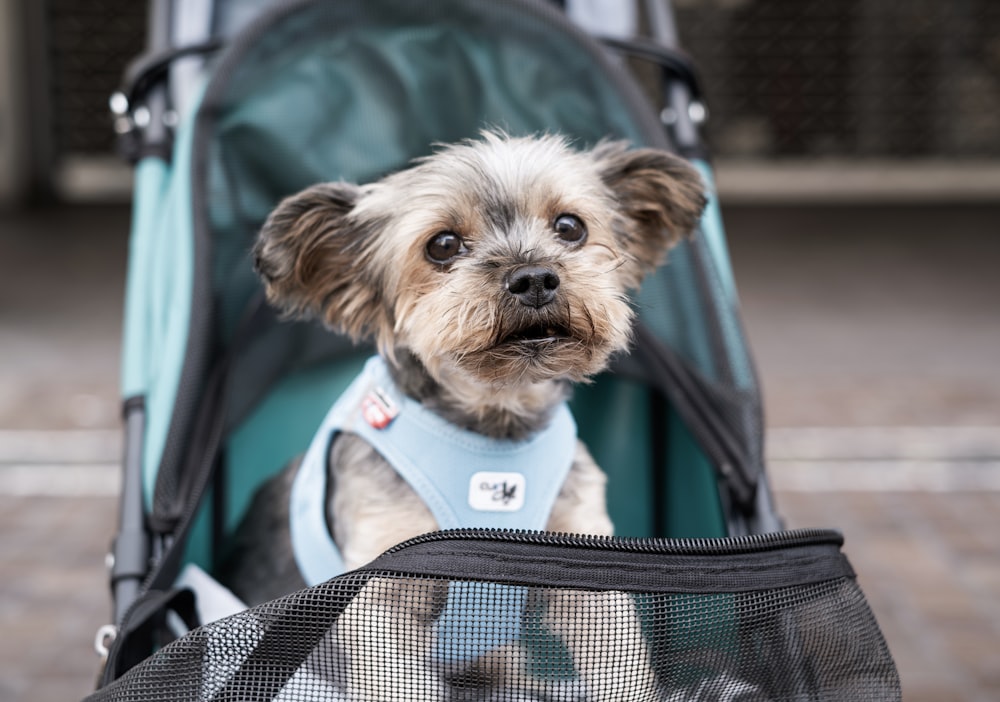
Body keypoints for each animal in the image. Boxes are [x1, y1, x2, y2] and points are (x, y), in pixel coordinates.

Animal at [225, 131, 712, 700]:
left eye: (571, 227)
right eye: (442, 245)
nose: (534, 277)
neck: (495, 425)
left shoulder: (587, 577)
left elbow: (619, 669)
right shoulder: (382, 600)